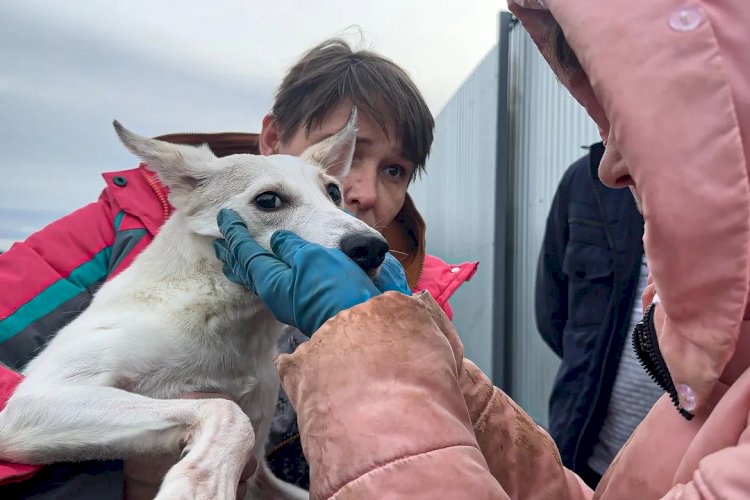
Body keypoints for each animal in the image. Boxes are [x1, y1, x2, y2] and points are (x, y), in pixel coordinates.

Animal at [0, 107, 388, 498]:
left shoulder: (259, 472)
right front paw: (199, 484)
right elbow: (227, 411)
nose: (372, 247)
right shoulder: (34, 401)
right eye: (268, 200)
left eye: (334, 192)